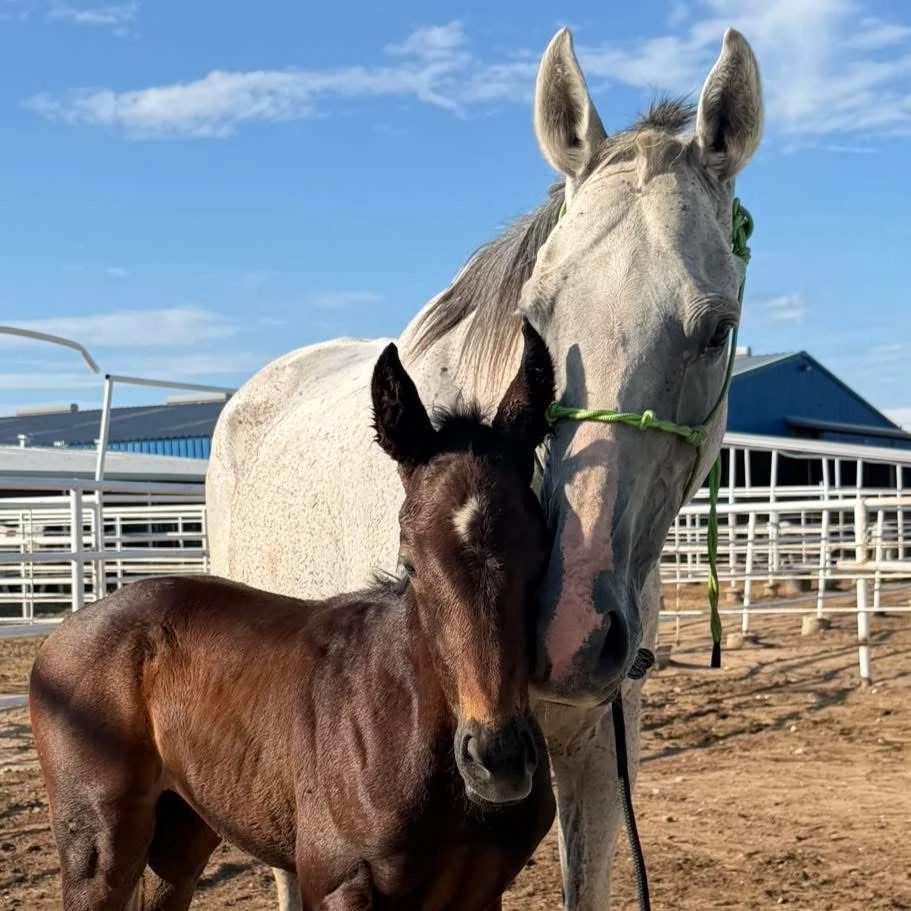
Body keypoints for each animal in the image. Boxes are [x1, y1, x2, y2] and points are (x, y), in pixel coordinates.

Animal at [28, 321, 558, 911]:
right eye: (410, 562)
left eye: (543, 550)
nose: (499, 760)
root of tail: (66, 630)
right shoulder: (337, 883)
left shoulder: (480, 893)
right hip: (97, 848)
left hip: (182, 830)